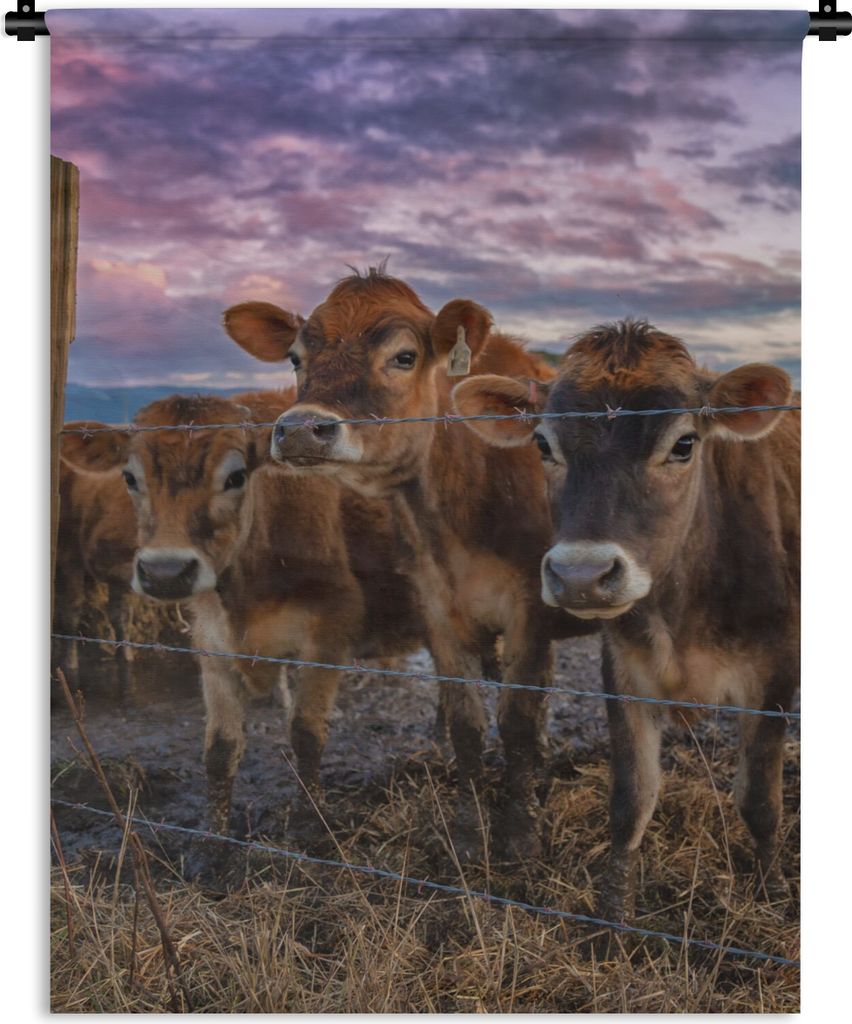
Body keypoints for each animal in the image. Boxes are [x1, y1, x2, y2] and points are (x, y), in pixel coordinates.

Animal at [222, 269, 597, 861]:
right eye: (296, 357)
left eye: (403, 357)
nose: (301, 429)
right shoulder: (436, 606)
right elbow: (467, 724)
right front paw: (468, 831)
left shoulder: (531, 608)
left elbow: (514, 720)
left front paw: (519, 835)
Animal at [452, 319, 799, 917]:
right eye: (543, 444)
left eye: (684, 444)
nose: (582, 575)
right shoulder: (625, 669)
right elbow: (631, 799)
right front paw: (614, 915)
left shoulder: (776, 671)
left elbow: (760, 800)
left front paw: (773, 890)